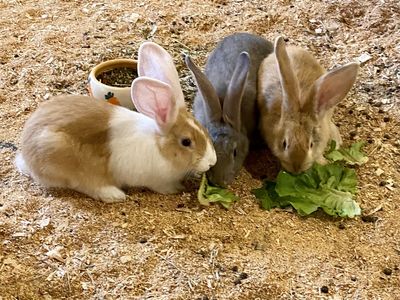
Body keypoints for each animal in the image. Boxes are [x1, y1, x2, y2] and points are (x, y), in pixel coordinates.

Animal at [15, 41, 217, 203]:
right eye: (186, 142)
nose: (211, 162)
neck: (159, 145)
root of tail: (27, 155)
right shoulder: (155, 180)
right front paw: (175, 190)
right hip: (68, 162)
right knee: (87, 184)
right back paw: (114, 195)